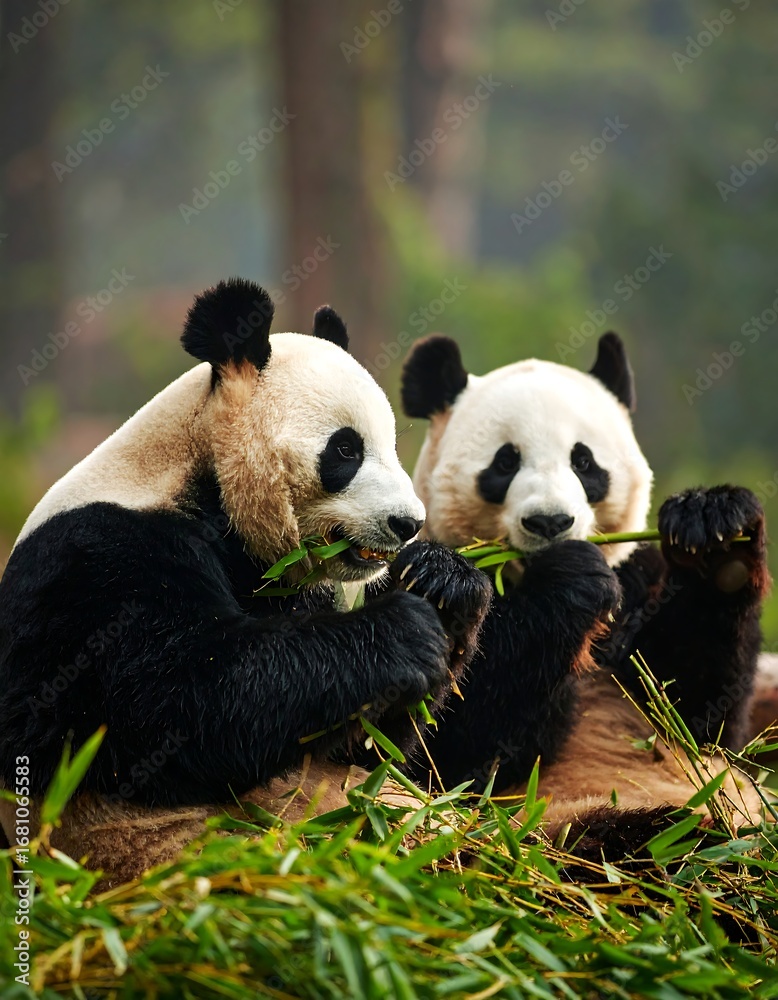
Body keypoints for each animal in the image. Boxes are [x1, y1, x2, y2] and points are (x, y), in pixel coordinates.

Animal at [0, 279, 490, 881]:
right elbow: (187, 705)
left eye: (393, 445)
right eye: (346, 449)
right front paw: (404, 630)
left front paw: (441, 583)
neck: (197, 472)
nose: (408, 523)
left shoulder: (290, 585)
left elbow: (365, 748)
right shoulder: (100, 564)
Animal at [400, 332, 769, 855]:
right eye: (505, 461)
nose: (550, 523)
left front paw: (715, 528)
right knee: (622, 838)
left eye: (584, 461)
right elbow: (451, 750)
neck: (519, 578)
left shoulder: (639, 583)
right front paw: (569, 577)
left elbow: (701, 721)